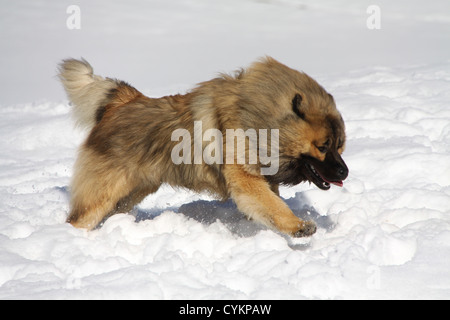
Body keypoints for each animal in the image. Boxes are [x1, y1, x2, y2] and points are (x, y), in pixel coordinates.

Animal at [58, 57, 348, 238]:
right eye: (323, 147)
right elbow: (275, 207)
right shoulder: (246, 180)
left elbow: (271, 205)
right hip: (104, 193)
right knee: (78, 219)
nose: (344, 173)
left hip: (131, 193)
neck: (261, 120)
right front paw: (298, 226)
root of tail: (121, 103)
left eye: (340, 146)